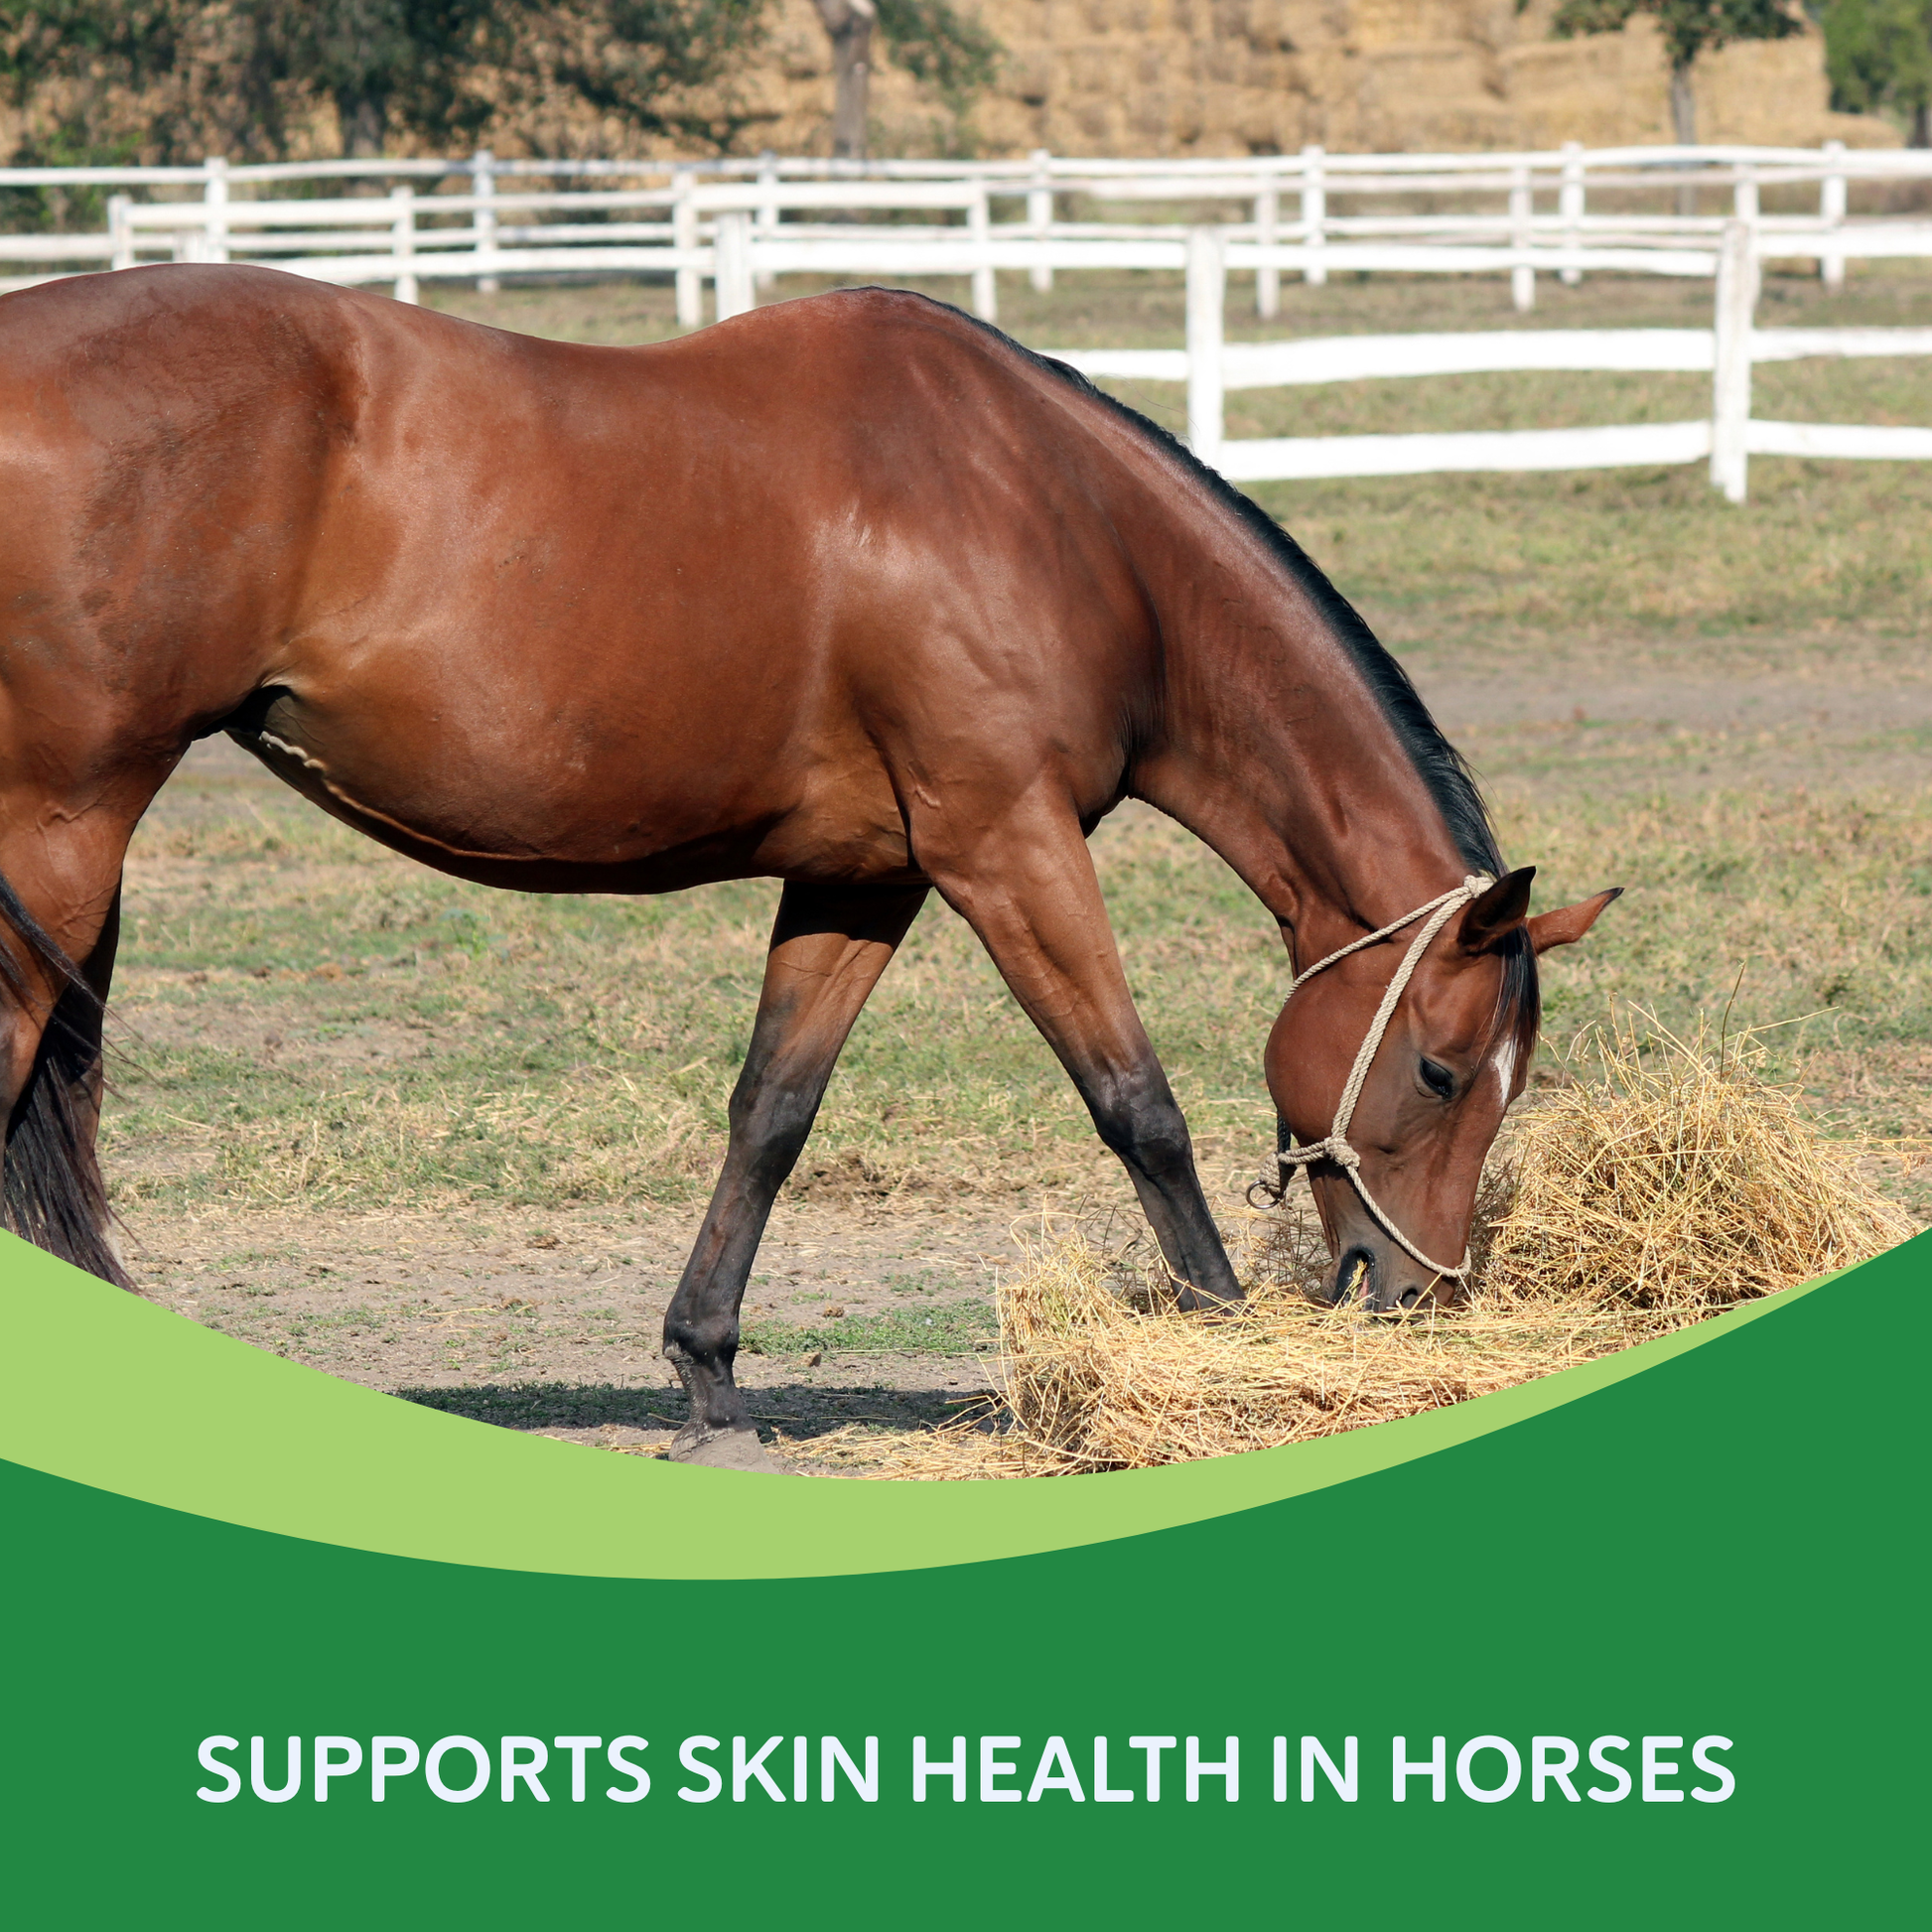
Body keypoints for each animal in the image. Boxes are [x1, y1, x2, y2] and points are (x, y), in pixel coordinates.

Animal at [0, 263, 1617, 1468]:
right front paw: (1217, 1345)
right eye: (1437, 1071)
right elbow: (1135, 1104)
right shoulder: (1004, 845)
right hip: (63, 830)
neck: (1048, 517)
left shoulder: (865, 876)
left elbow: (771, 1112)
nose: (1415, 1293)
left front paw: (710, 1381)